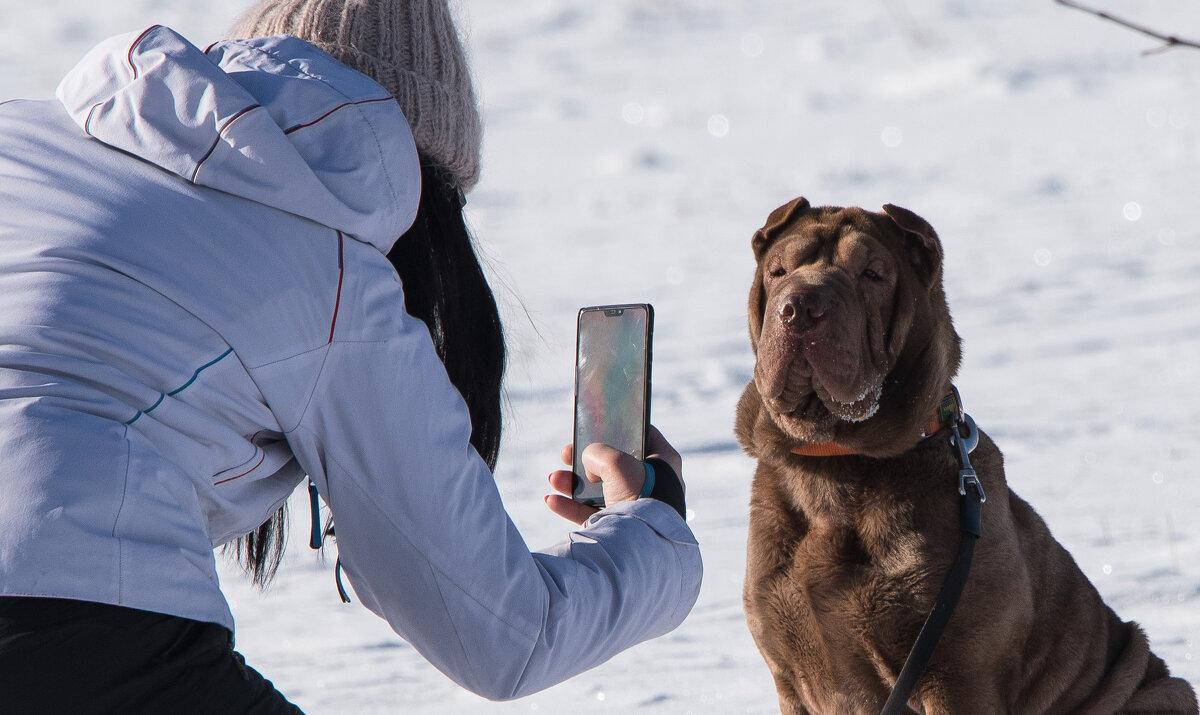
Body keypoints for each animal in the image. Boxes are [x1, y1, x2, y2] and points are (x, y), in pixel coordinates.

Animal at [729, 196, 1200, 715]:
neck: (830, 463)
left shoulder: (956, 673)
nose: (799, 307)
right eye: (778, 270)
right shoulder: (789, 674)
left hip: (1163, 692)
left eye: (872, 274)